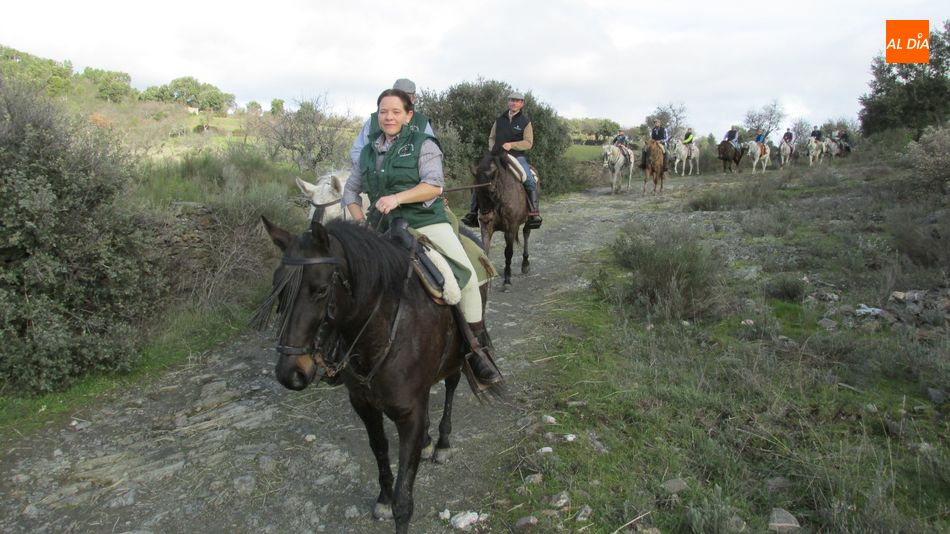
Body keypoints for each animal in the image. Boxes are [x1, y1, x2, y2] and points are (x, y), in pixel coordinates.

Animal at [254, 216, 497, 534]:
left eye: (320, 290)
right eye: (279, 289)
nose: (290, 373)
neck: (384, 329)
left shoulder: (409, 414)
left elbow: (404, 501)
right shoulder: (364, 405)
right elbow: (380, 448)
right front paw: (383, 497)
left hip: (457, 357)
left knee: (452, 386)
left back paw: (442, 443)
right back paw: (428, 440)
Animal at [472, 152, 533, 291]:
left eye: (491, 191)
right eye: (475, 191)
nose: (484, 218)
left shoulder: (510, 228)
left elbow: (508, 253)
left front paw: (507, 280)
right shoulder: (486, 228)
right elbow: (485, 251)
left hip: (528, 220)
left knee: (526, 233)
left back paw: (525, 263)